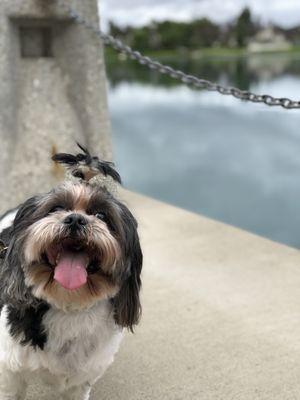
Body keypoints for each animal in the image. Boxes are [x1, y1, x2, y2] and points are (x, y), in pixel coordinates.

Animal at [0, 146, 143, 400]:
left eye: (102, 216)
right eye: (56, 208)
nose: (75, 219)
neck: (69, 306)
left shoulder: (81, 380)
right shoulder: (10, 369)